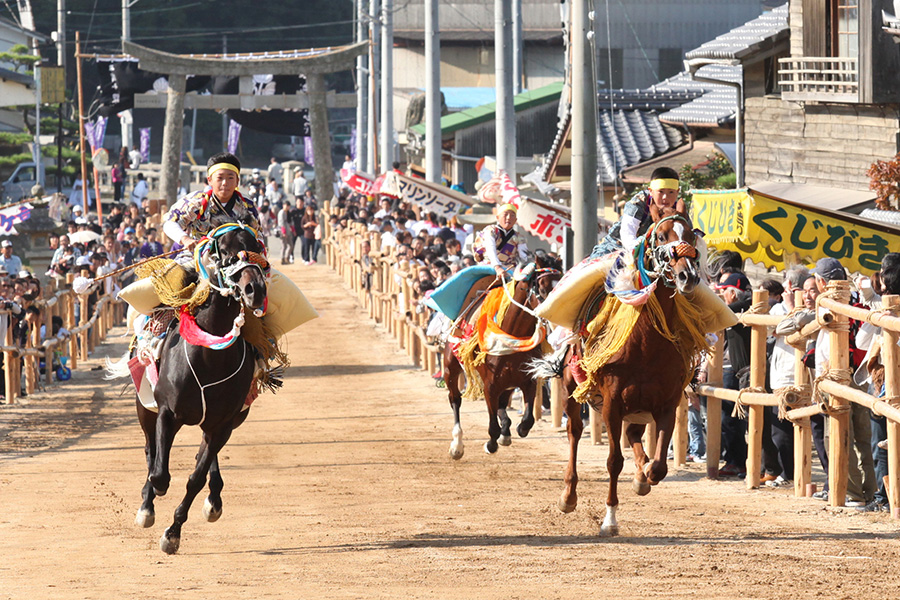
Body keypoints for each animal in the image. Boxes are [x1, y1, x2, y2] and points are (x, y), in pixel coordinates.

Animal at [112, 224, 268, 552]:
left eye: (255, 246)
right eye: (222, 250)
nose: (254, 289)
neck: (210, 357)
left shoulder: (223, 424)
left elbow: (195, 478)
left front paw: (172, 534)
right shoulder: (166, 413)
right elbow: (159, 473)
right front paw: (150, 503)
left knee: (204, 459)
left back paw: (213, 500)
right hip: (144, 406)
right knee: (150, 451)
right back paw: (147, 504)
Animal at [442, 252, 564, 460]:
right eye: (542, 287)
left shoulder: (528, 379)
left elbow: (527, 421)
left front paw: (513, 429)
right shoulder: (490, 384)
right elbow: (493, 426)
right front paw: (490, 444)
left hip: (508, 380)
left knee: (502, 402)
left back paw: (505, 432)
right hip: (451, 365)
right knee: (455, 399)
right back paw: (457, 445)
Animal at [536, 209, 704, 536]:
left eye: (691, 235)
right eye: (661, 236)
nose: (687, 276)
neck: (646, 343)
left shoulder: (667, 402)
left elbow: (660, 465)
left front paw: (645, 474)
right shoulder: (612, 402)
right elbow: (614, 461)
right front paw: (610, 520)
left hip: (638, 405)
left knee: (634, 434)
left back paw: (641, 475)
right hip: (573, 389)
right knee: (575, 432)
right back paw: (568, 495)